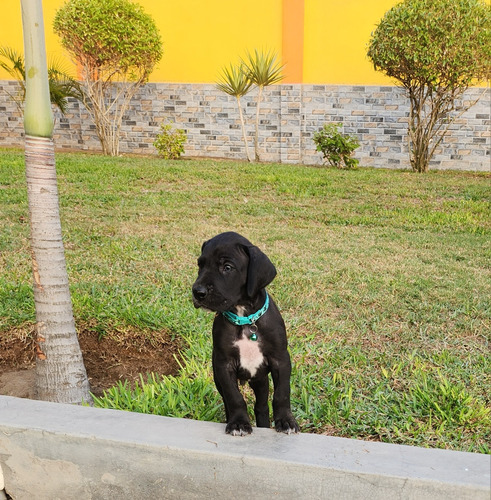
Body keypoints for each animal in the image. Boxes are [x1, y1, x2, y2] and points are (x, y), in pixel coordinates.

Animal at [192, 232, 300, 436]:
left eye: (227, 267)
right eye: (200, 265)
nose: (197, 292)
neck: (245, 319)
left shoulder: (280, 360)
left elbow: (282, 394)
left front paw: (286, 421)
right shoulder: (223, 366)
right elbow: (234, 398)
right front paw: (239, 423)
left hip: (260, 380)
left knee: (261, 406)